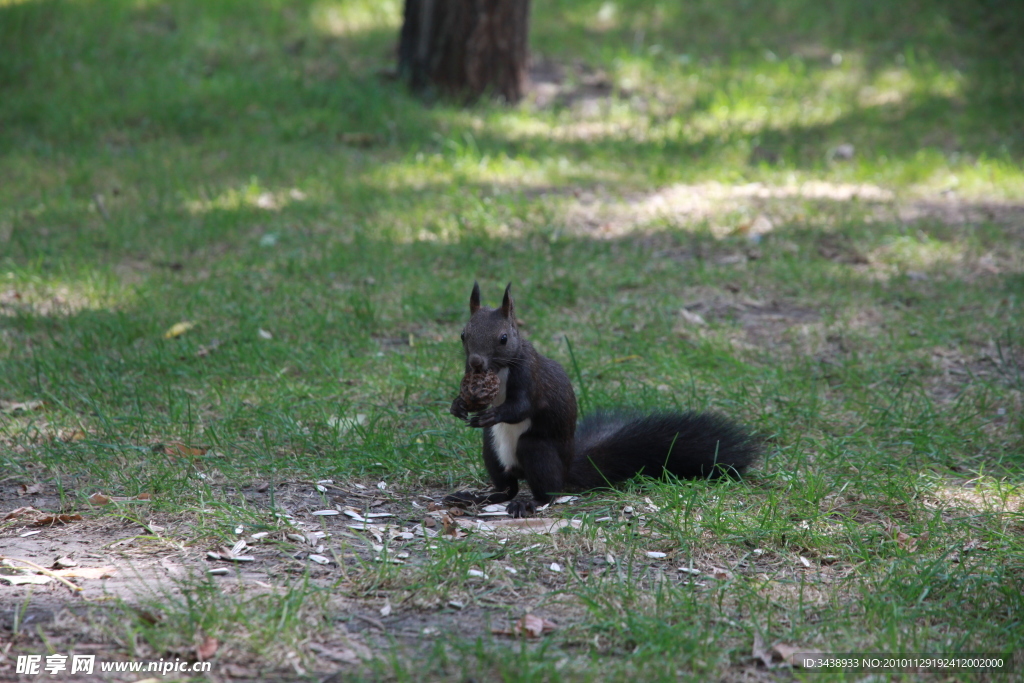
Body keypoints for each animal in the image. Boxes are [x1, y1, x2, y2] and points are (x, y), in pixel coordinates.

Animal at [448, 282, 761, 518]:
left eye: (503, 338)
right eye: (463, 334)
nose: (476, 363)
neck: (499, 370)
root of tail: (566, 468)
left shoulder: (529, 374)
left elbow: (521, 407)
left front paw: (493, 414)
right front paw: (459, 405)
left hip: (536, 450)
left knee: (548, 491)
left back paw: (529, 502)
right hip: (492, 449)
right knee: (507, 487)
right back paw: (475, 497)